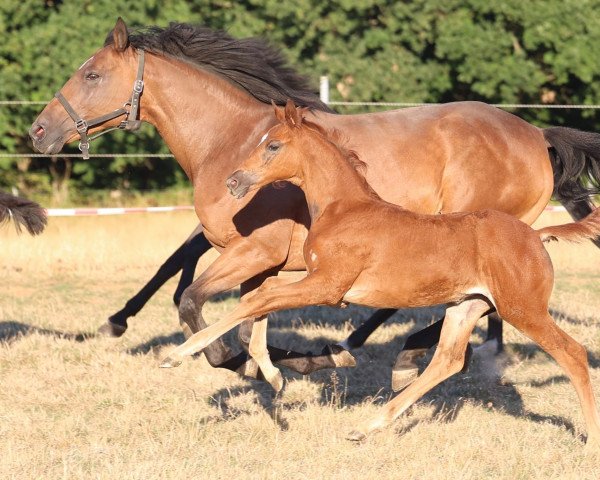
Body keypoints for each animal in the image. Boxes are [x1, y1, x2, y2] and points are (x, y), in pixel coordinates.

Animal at [31, 17, 600, 386]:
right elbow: (227, 304)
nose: (39, 131)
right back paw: (382, 350)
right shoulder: (258, 260)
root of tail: (536, 135)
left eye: (91, 74)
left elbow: (195, 303)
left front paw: (269, 364)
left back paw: (394, 355)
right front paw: (289, 361)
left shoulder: (254, 252)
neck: (231, 139)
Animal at [161, 101, 600, 446]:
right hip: (467, 306)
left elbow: (257, 300)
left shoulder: (327, 286)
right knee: (447, 360)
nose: (234, 181)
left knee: (573, 353)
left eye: (273, 145)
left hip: (523, 309)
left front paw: (177, 356)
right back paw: (366, 425)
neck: (344, 208)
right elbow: (257, 303)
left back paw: (590, 439)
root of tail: (536, 236)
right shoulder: (305, 279)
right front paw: (271, 375)